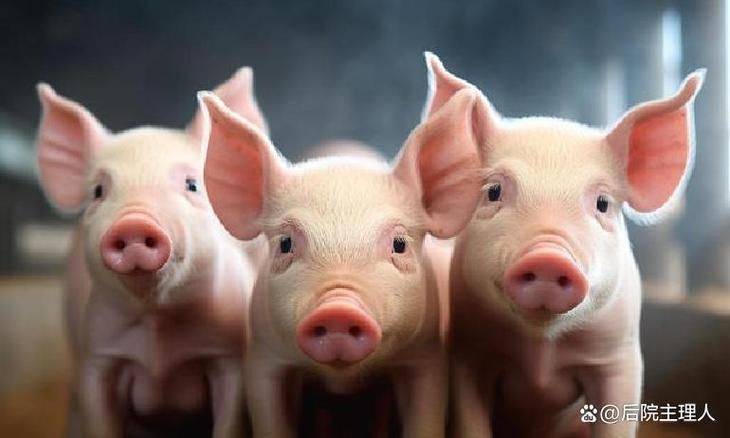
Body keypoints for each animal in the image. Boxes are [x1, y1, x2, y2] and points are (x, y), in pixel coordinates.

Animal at [35, 67, 267, 438]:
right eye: (98, 191)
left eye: (192, 185)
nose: (134, 222)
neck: (157, 325)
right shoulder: (99, 358)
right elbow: (100, 420)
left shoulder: (228, 358)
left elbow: (229, 421)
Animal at [197, 79, 485, 437]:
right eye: (286, 243)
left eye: (399, 244)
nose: (338, 309)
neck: (342, 377)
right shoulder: (264, 356)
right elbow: (271, 417)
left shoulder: (425, 354)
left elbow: (424, 415)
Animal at [421, 53, 705, 437]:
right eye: (494, 191)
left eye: (603, 203)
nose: (548, 256)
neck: (543, 349)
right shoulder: (470, 353)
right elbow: (471, 421)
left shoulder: (619, 357)